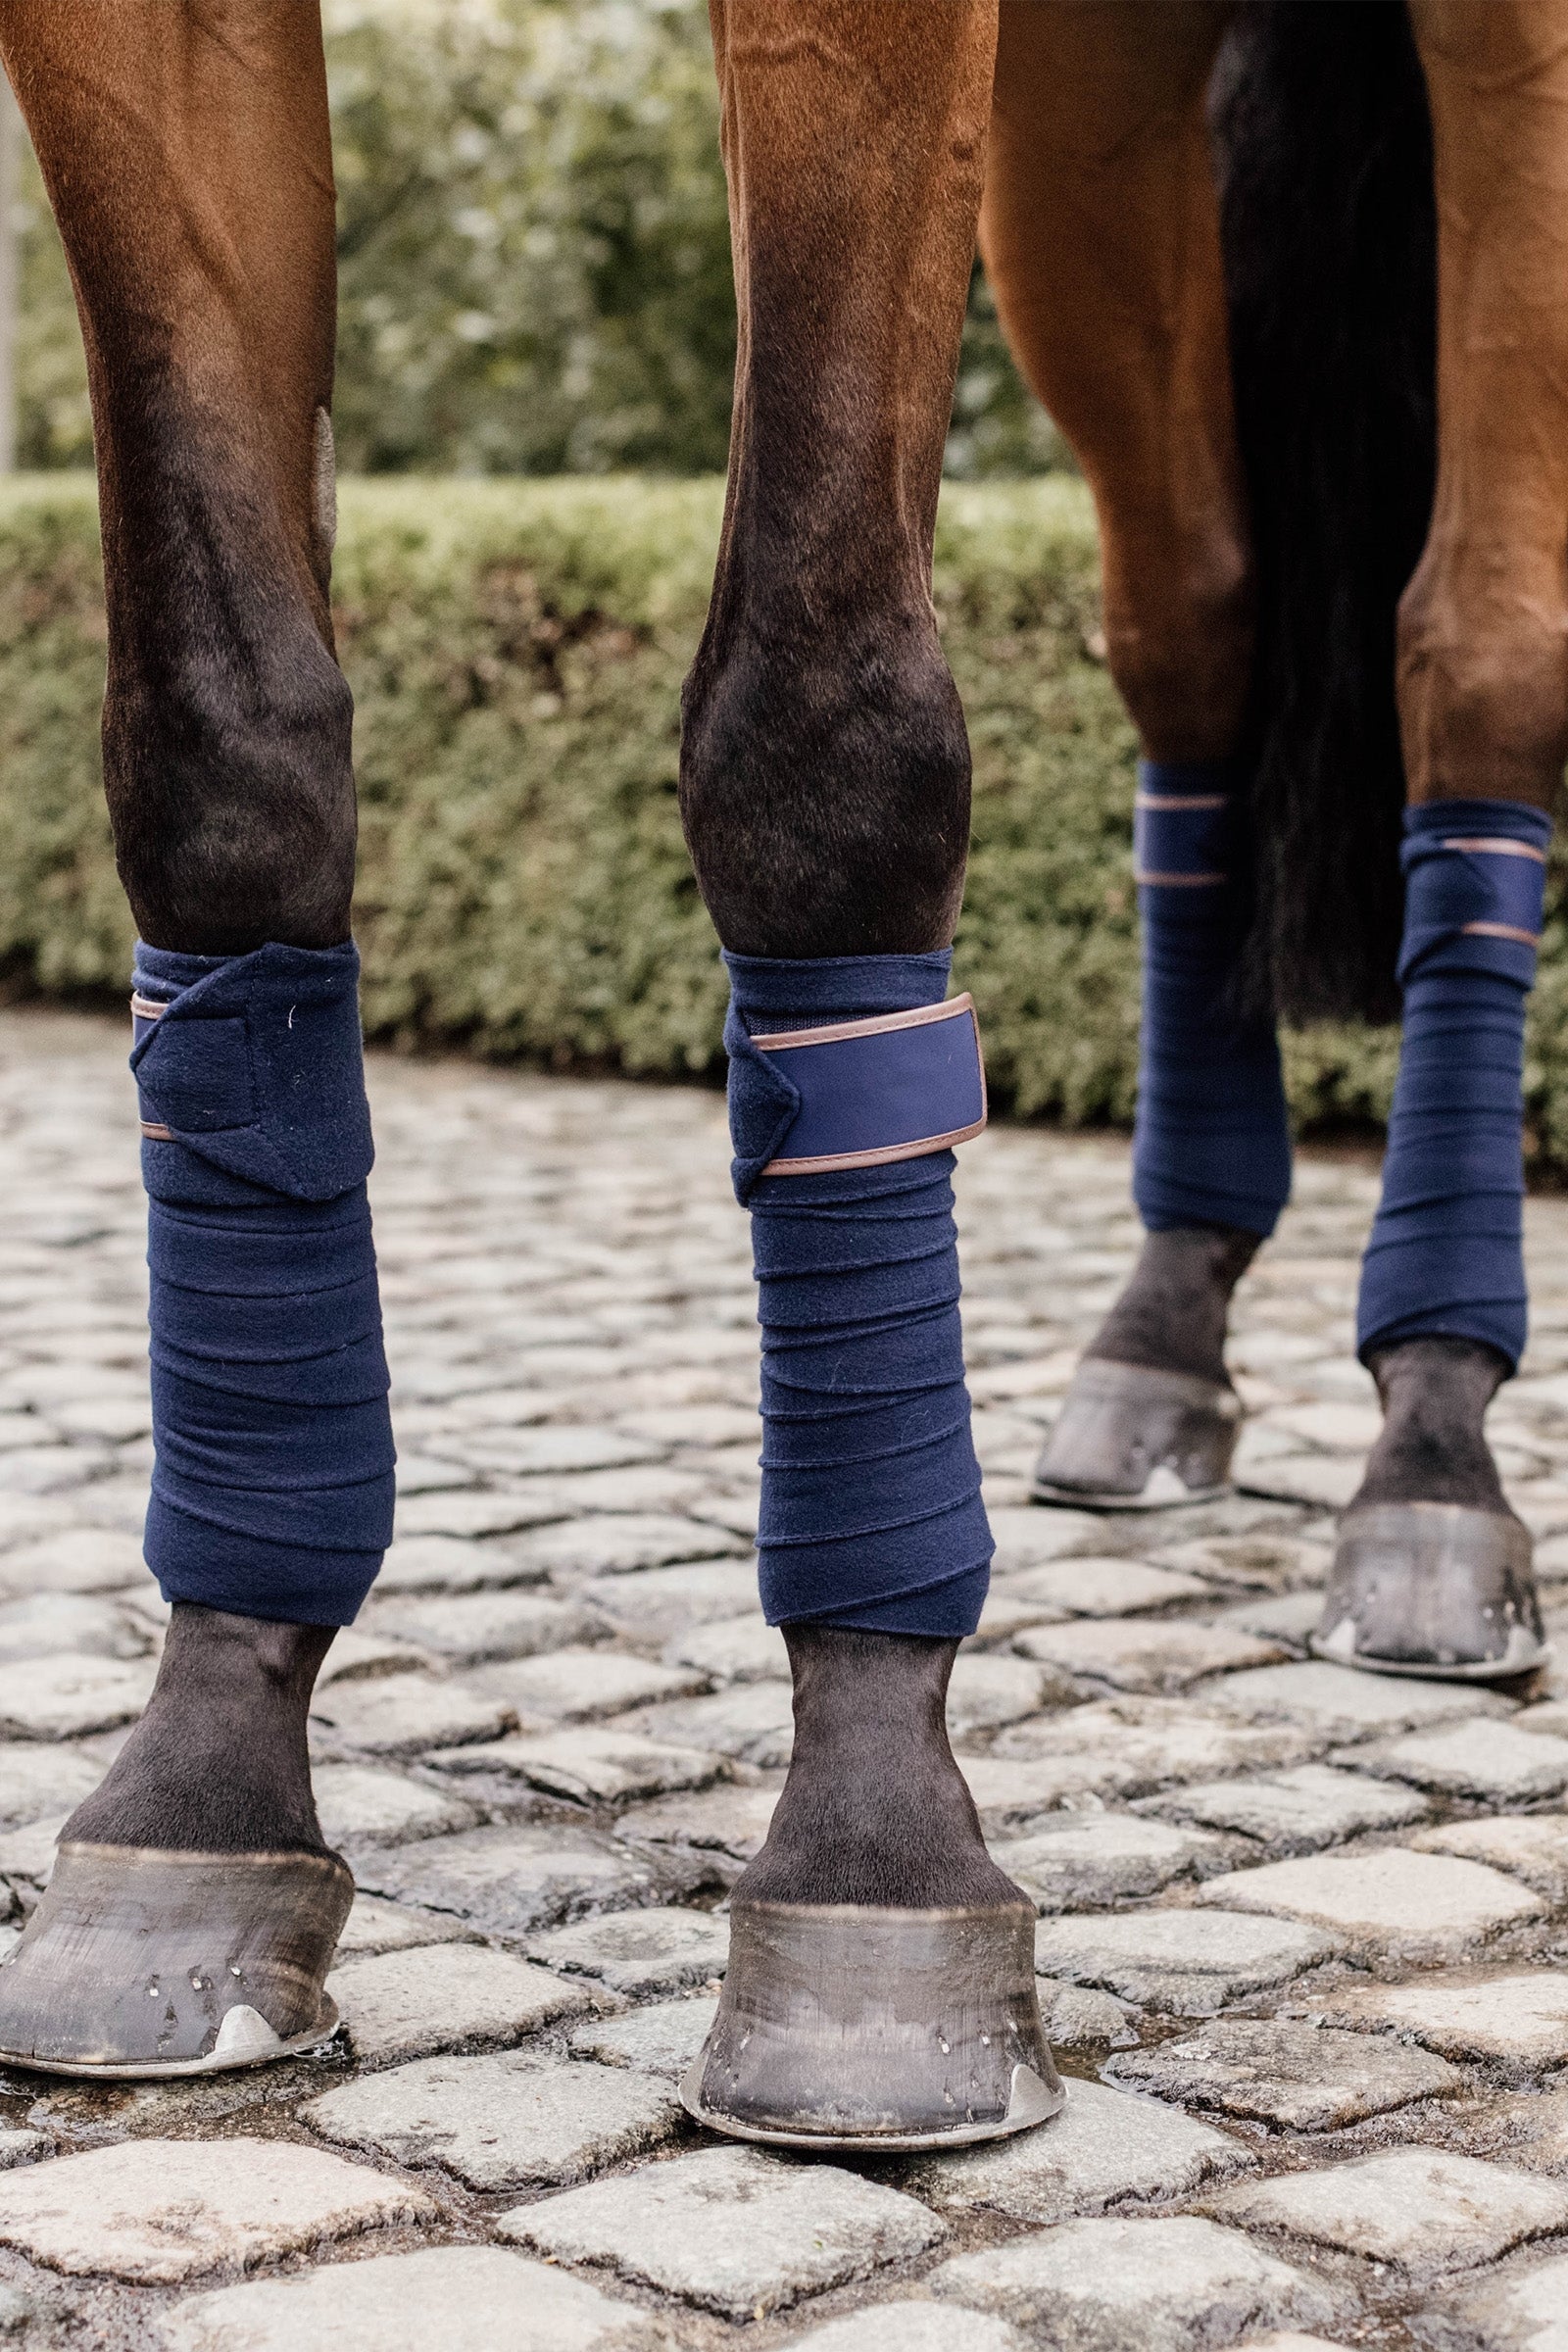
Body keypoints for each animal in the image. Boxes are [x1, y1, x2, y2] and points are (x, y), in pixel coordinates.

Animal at [0, 0, 1554, 2151]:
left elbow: (818, 738)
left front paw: (870, 1847)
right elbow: (219, 752)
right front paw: (203, 1785)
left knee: (1472, 652)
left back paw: (1431, 1434)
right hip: (1091, 97)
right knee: (1196, 628)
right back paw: (1165, 1324)